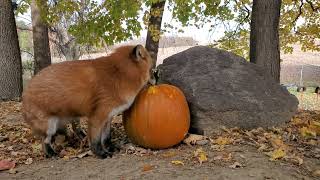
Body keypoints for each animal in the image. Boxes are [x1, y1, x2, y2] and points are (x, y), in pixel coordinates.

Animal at [21, 44, 154, 158]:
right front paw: (101, 154)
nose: (155, 80)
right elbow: (96, 140)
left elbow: (106, 137)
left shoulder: (108, 116)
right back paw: (51, 154)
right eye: (152, 69)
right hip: (49, 127)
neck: (119, 74)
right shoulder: (97, 116)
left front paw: (110, 148)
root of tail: (25, 90)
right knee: (44, 142)